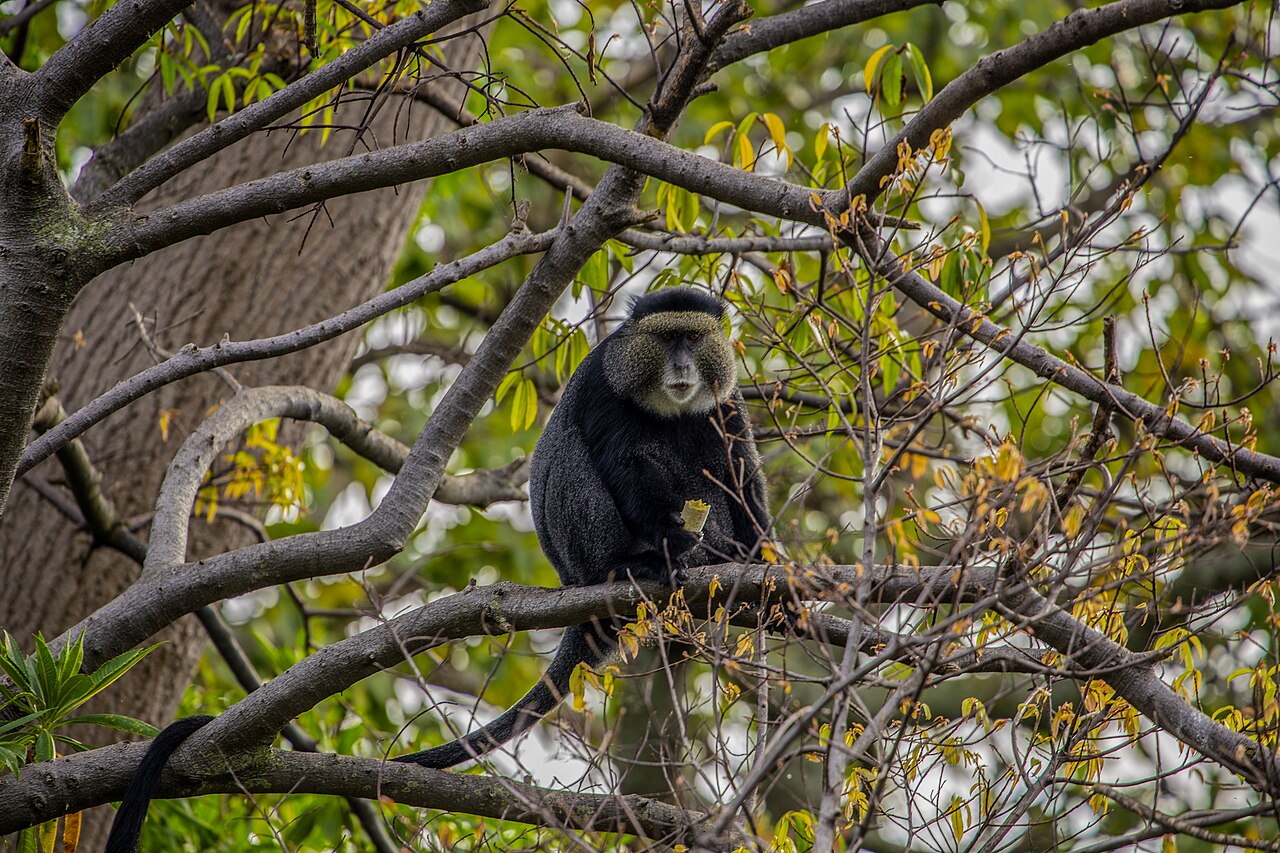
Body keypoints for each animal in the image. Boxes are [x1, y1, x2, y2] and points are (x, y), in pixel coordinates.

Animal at [394, 286, 772, 769]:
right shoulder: (603, 384)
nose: (683, 366)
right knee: (572, 451)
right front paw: (667, 539)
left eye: (692, 338)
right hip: (580, 553)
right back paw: (629, 565)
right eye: (666, 339)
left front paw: (764, 558)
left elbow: (739, 468)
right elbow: (624, 460)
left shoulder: (727, 400)